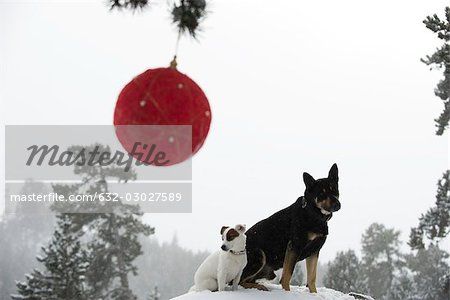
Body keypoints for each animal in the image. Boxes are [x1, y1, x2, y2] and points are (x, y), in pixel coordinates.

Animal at [241, 164, 340, 292]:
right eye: (322, 193)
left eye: (334, 189)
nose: (337, 205)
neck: (313, 213)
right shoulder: (294, 246)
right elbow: (287, 276)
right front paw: (286, 292)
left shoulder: (314, 251)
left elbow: (312, 278)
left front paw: (314, 293)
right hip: (259, 256)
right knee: (239, 281)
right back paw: (259, 287)